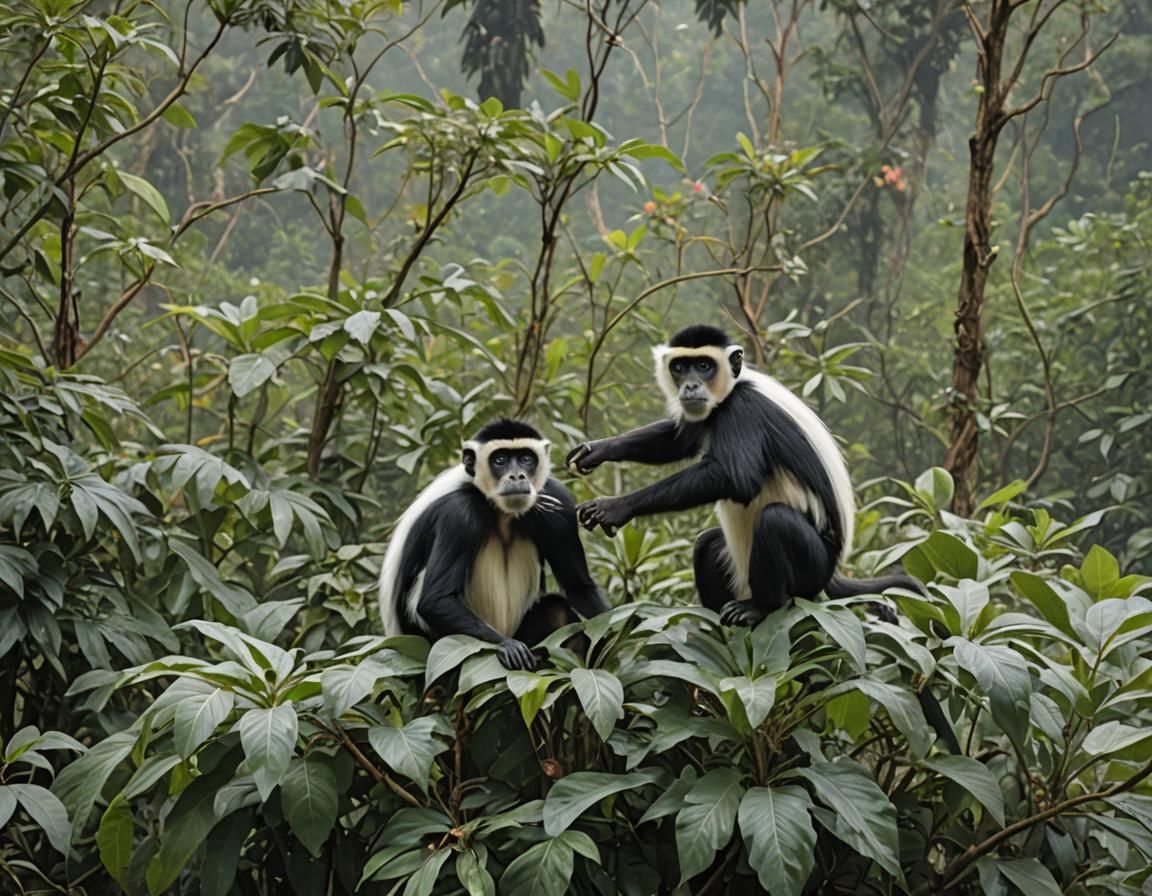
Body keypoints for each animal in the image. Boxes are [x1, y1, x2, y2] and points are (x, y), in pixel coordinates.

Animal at [379, 418, 609, 671]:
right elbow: (434, 600)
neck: (502, 513)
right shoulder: (459, 514)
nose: (517, 476)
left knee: (557, 610)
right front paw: (508, 646)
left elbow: (578, 586)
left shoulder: (557, 500)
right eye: (500, 460)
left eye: (526, 458)